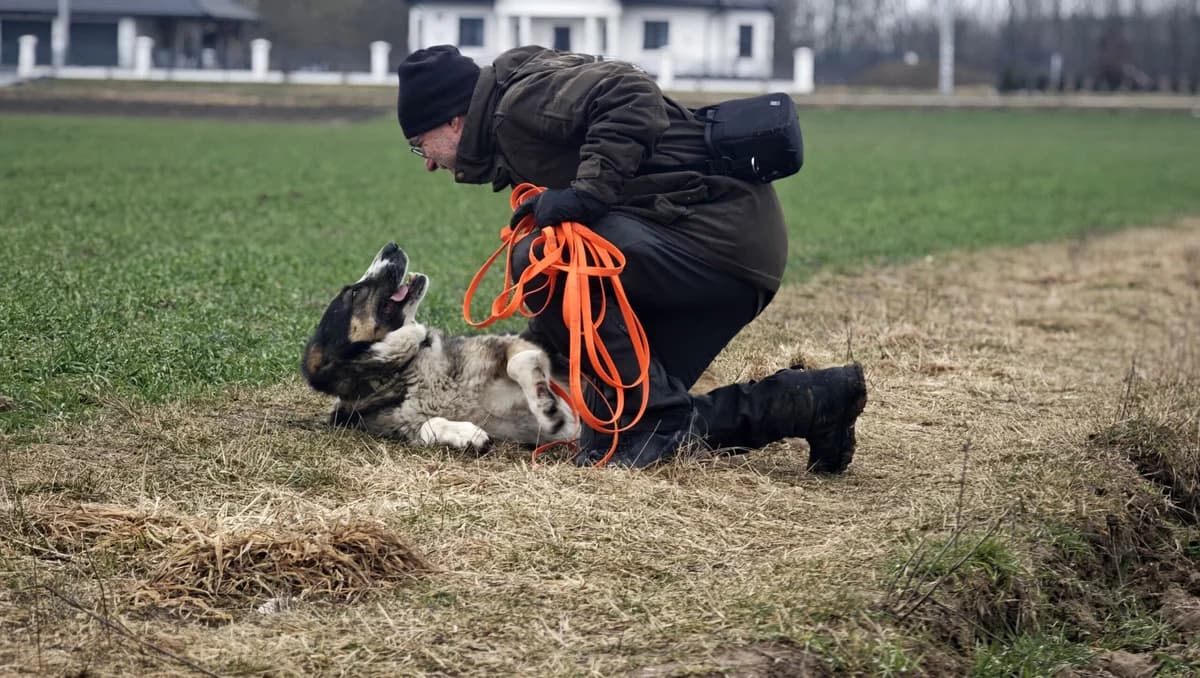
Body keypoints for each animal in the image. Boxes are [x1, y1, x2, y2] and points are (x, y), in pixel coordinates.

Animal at [301, 242, 578, 452]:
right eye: (355, 292)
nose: (392, 246)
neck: (405, 369)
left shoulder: (516, 344)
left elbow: (519, 362)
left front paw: (545, 405)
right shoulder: (402, 424)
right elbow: (427, 426)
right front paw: (466, 434)